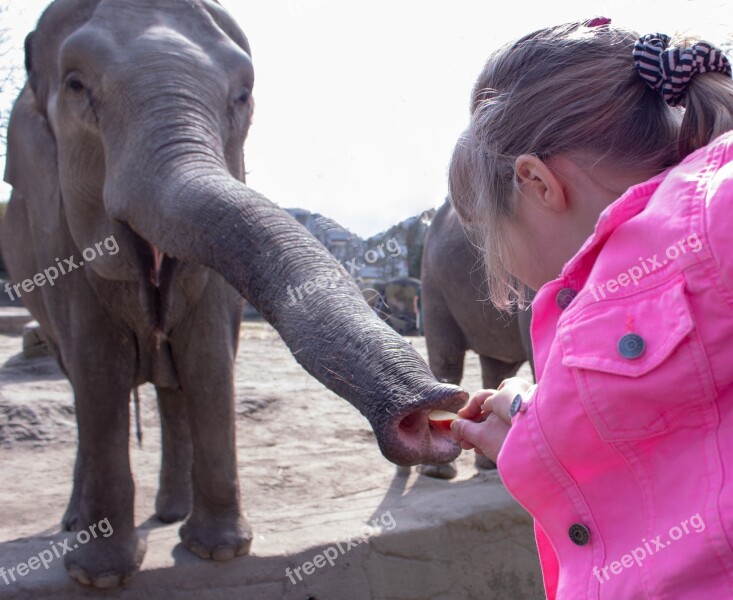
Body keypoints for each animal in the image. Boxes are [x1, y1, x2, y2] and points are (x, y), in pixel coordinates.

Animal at [0, 0, 466, 588]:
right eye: (76, 85)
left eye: (242, 96)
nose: (436, 407)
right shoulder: (56, 231)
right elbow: (98, 367)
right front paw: (101, 577)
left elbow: (208, 359)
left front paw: (220, 553)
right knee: (82, 378)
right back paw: (77, 523)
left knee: (173, 384)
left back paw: (171, 515)